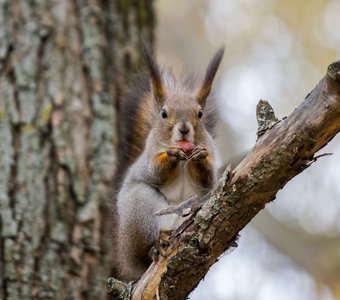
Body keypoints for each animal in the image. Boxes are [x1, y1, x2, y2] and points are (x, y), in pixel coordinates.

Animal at [115, 44, 226, 282]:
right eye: (164, 113)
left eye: (200, 113)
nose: (183, 128)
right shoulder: (149, 156)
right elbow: (154, 172)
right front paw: (172, 155)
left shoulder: (210, 166)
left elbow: (209, 180)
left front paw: (201, 157)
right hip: (140, 211)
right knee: (145, 250)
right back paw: (156, 245)